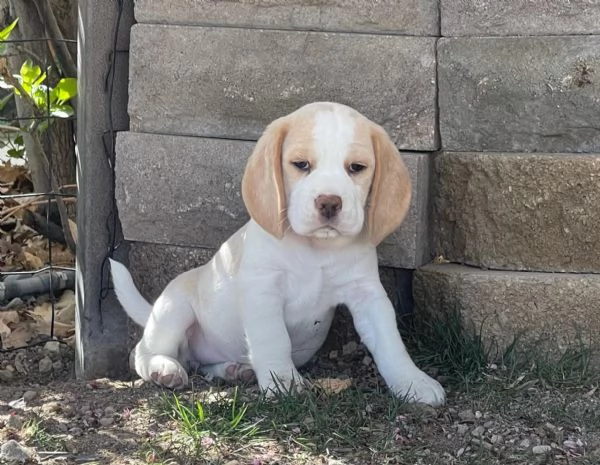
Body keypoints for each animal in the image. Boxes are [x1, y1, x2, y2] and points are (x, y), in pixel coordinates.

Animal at [110, 101, 446, 406]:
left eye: (356, 168)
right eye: (301, 164)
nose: (329, 202)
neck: (315, 250)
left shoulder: (367, 294)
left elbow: (390, 342)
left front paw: (413, 382)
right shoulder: (262, 291)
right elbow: (274, 339)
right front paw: (283, 382)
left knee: (203, 364)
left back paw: (234, 369)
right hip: (173, 309)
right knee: (141, 352)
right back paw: (164, 369)